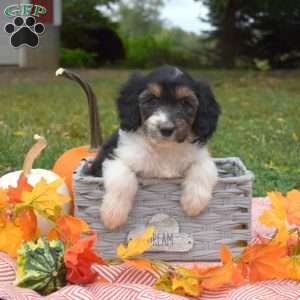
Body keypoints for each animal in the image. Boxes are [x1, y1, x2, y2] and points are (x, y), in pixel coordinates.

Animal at [89, 65, 220, 230]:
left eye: (185, 103)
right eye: (152, 100)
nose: (166, 129)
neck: (164, 149)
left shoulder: (201, 157)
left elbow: (204, 169)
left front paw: (194, 202)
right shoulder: (115, 156)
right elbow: (123, 179)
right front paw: (113, 214)